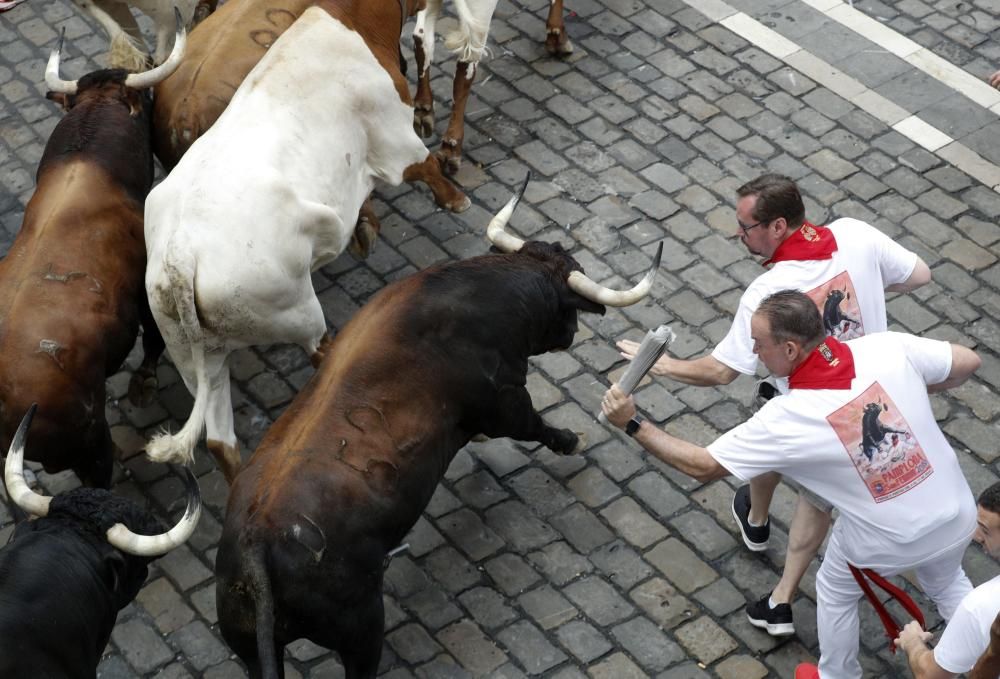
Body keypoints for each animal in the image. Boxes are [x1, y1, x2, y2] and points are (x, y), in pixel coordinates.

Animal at [0, 26, 186, 486]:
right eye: (149, 102)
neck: (87, 160)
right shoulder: (144, 284)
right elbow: (153, 337)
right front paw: (145, 382)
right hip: (87, 442)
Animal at [144, 5, 460, 484]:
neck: (347, 19)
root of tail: (181, 252)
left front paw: (366, 228)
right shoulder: (394, 135)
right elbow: (426, 166)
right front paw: (455, 198)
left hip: (193, 352)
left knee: (219, 440)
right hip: (294, 310)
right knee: (317, 351)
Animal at [215, 179, 660, 679]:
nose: (572, 333)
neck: (483, 296)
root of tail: (256, 543)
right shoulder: (506, 402)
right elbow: (535, 426)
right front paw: (573, 440)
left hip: (250, 645)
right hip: (361, 629)